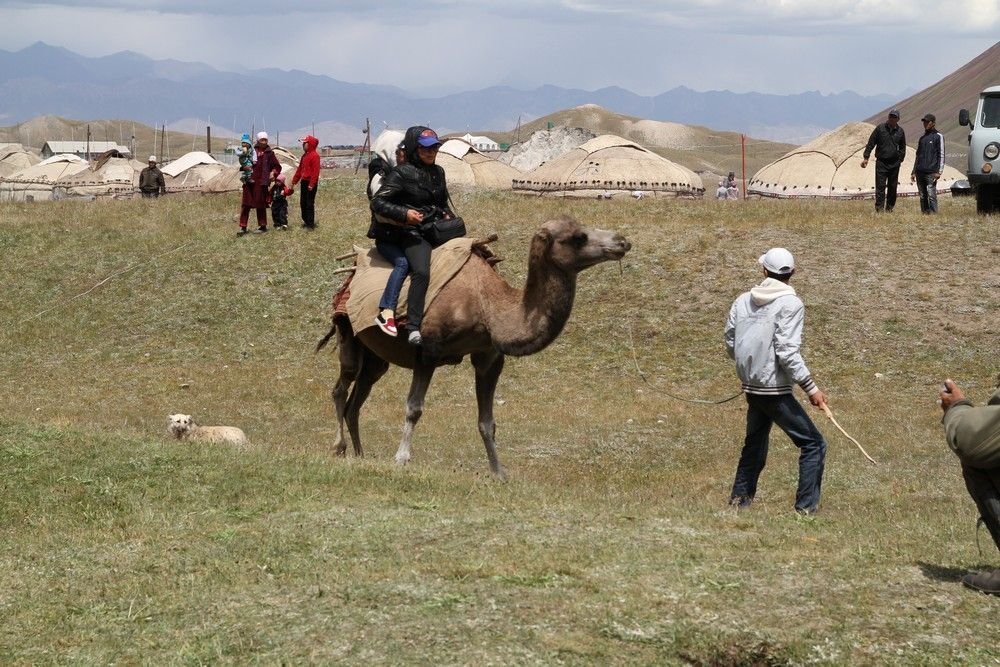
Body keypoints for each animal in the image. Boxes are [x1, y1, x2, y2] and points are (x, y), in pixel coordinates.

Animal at [318, 218, 632, 480]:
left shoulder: (489, 356)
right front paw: (402, 458)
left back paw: (360, 455)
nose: (622, 241)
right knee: (341, 388)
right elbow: (414, 407)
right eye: (578, 236)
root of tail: (353, 269)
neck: (487, 305)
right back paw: (338, 447)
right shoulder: (428, 349)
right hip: (348, 330)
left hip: (375, 356)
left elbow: (487, 421)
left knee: (359, 396)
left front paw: (498, 472)